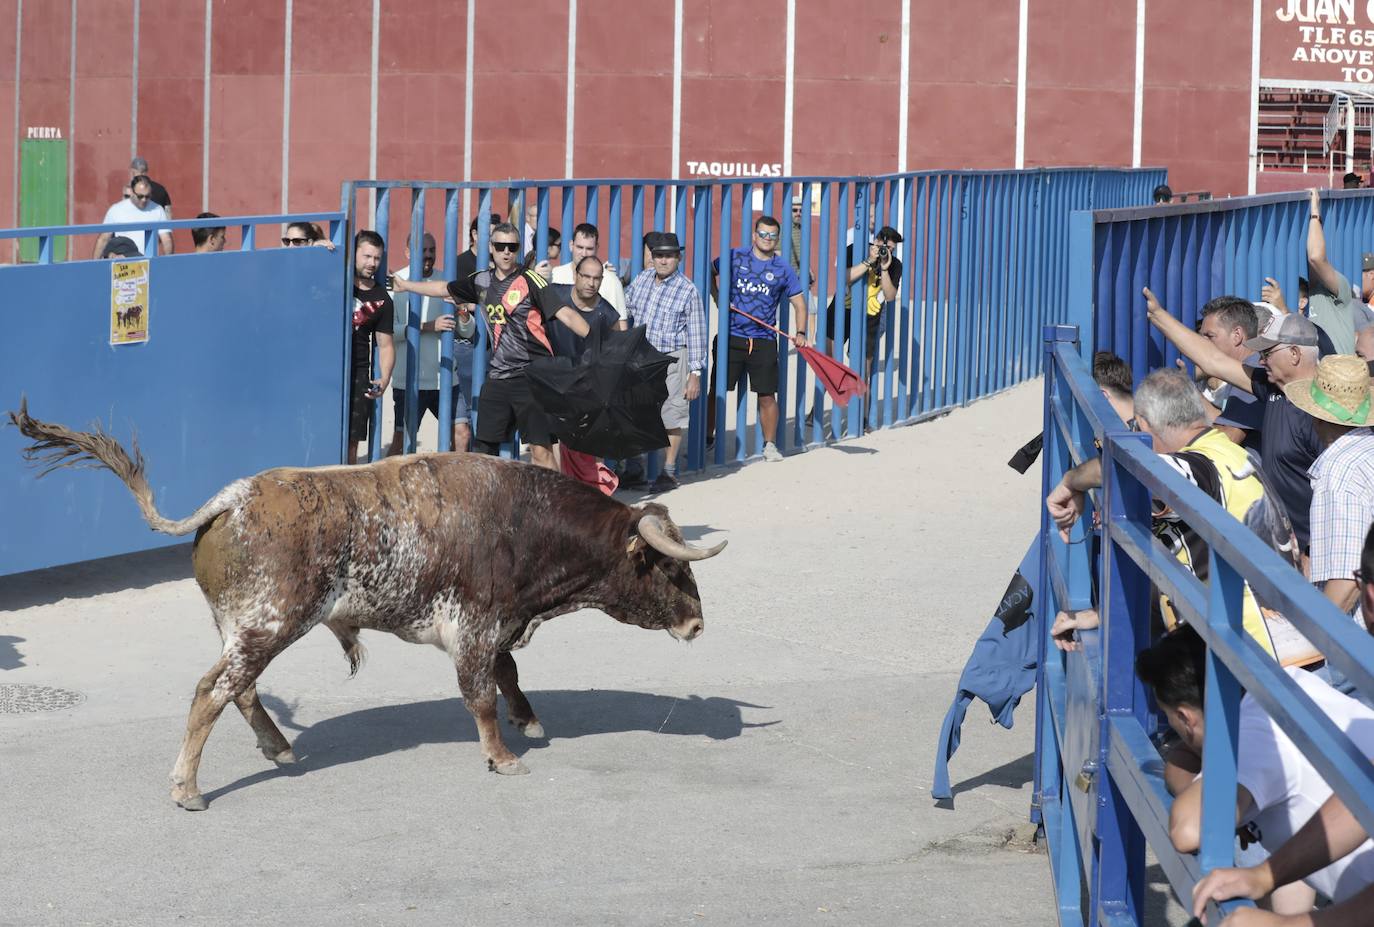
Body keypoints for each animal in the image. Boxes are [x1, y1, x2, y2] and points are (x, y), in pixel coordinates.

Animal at [8, 403, 730, 807]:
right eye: (671, 567)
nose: (698, 623)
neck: (523, 521)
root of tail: (234, 497)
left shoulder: (495, 626)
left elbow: (508, 675)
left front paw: (528, 721)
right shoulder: (476, 626)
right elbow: (481, 694)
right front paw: (502, 756)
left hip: (245, 627)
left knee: (239, 690)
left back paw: (278, 748)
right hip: (268, 624)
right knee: (211, 692)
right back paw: (187, 789)